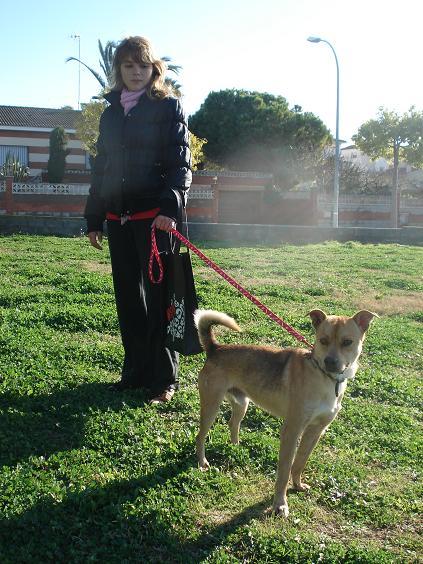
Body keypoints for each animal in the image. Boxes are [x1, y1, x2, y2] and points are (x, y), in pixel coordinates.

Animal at [194, 308, 376, 516]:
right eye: (323, 340)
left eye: (347, 342)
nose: (330, 362)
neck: (325, 377)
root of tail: (215, 349)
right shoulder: (292, 431)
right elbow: (284, 470)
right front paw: (280, 504)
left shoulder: (315, 431)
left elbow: (299, 463)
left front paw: (297, 485)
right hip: (211, 406)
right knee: (200, 436)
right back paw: (202, 463)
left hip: (242, 403)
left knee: (233, 423)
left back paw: (235, 447)